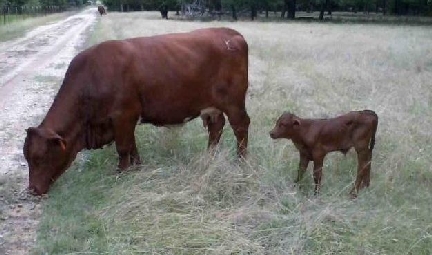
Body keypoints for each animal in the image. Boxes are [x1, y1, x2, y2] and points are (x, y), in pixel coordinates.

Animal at [23, 27, 250, 195]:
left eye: (39, 158)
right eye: (27, 158)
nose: (32, 190)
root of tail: (231, 33)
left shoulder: (123, 115)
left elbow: (123, 147)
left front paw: (121, 173)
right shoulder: (125, 119)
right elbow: (132, 145)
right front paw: (137, 168)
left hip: (234, 102)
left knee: (240, 126)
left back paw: (241, 161)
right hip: (213, 107)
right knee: (216, 128)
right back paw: (208, 157)